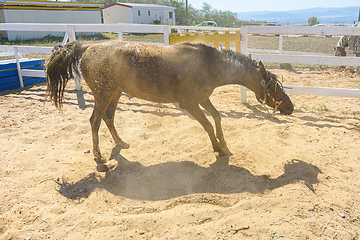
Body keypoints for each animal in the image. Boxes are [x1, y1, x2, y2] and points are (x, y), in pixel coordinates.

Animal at [45, 39, 294, 171]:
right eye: (275, 87)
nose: (290, 107)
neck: (209, 64)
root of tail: (87, 48)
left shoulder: (202, 99)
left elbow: (217, 117)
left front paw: (224, 144)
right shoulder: (190, 104)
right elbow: (208, 125)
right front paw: (219, 149)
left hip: (114, 93)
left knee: (109, 117)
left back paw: (121, 143)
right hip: (103, 94)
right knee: (95, 121)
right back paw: (99, 157)